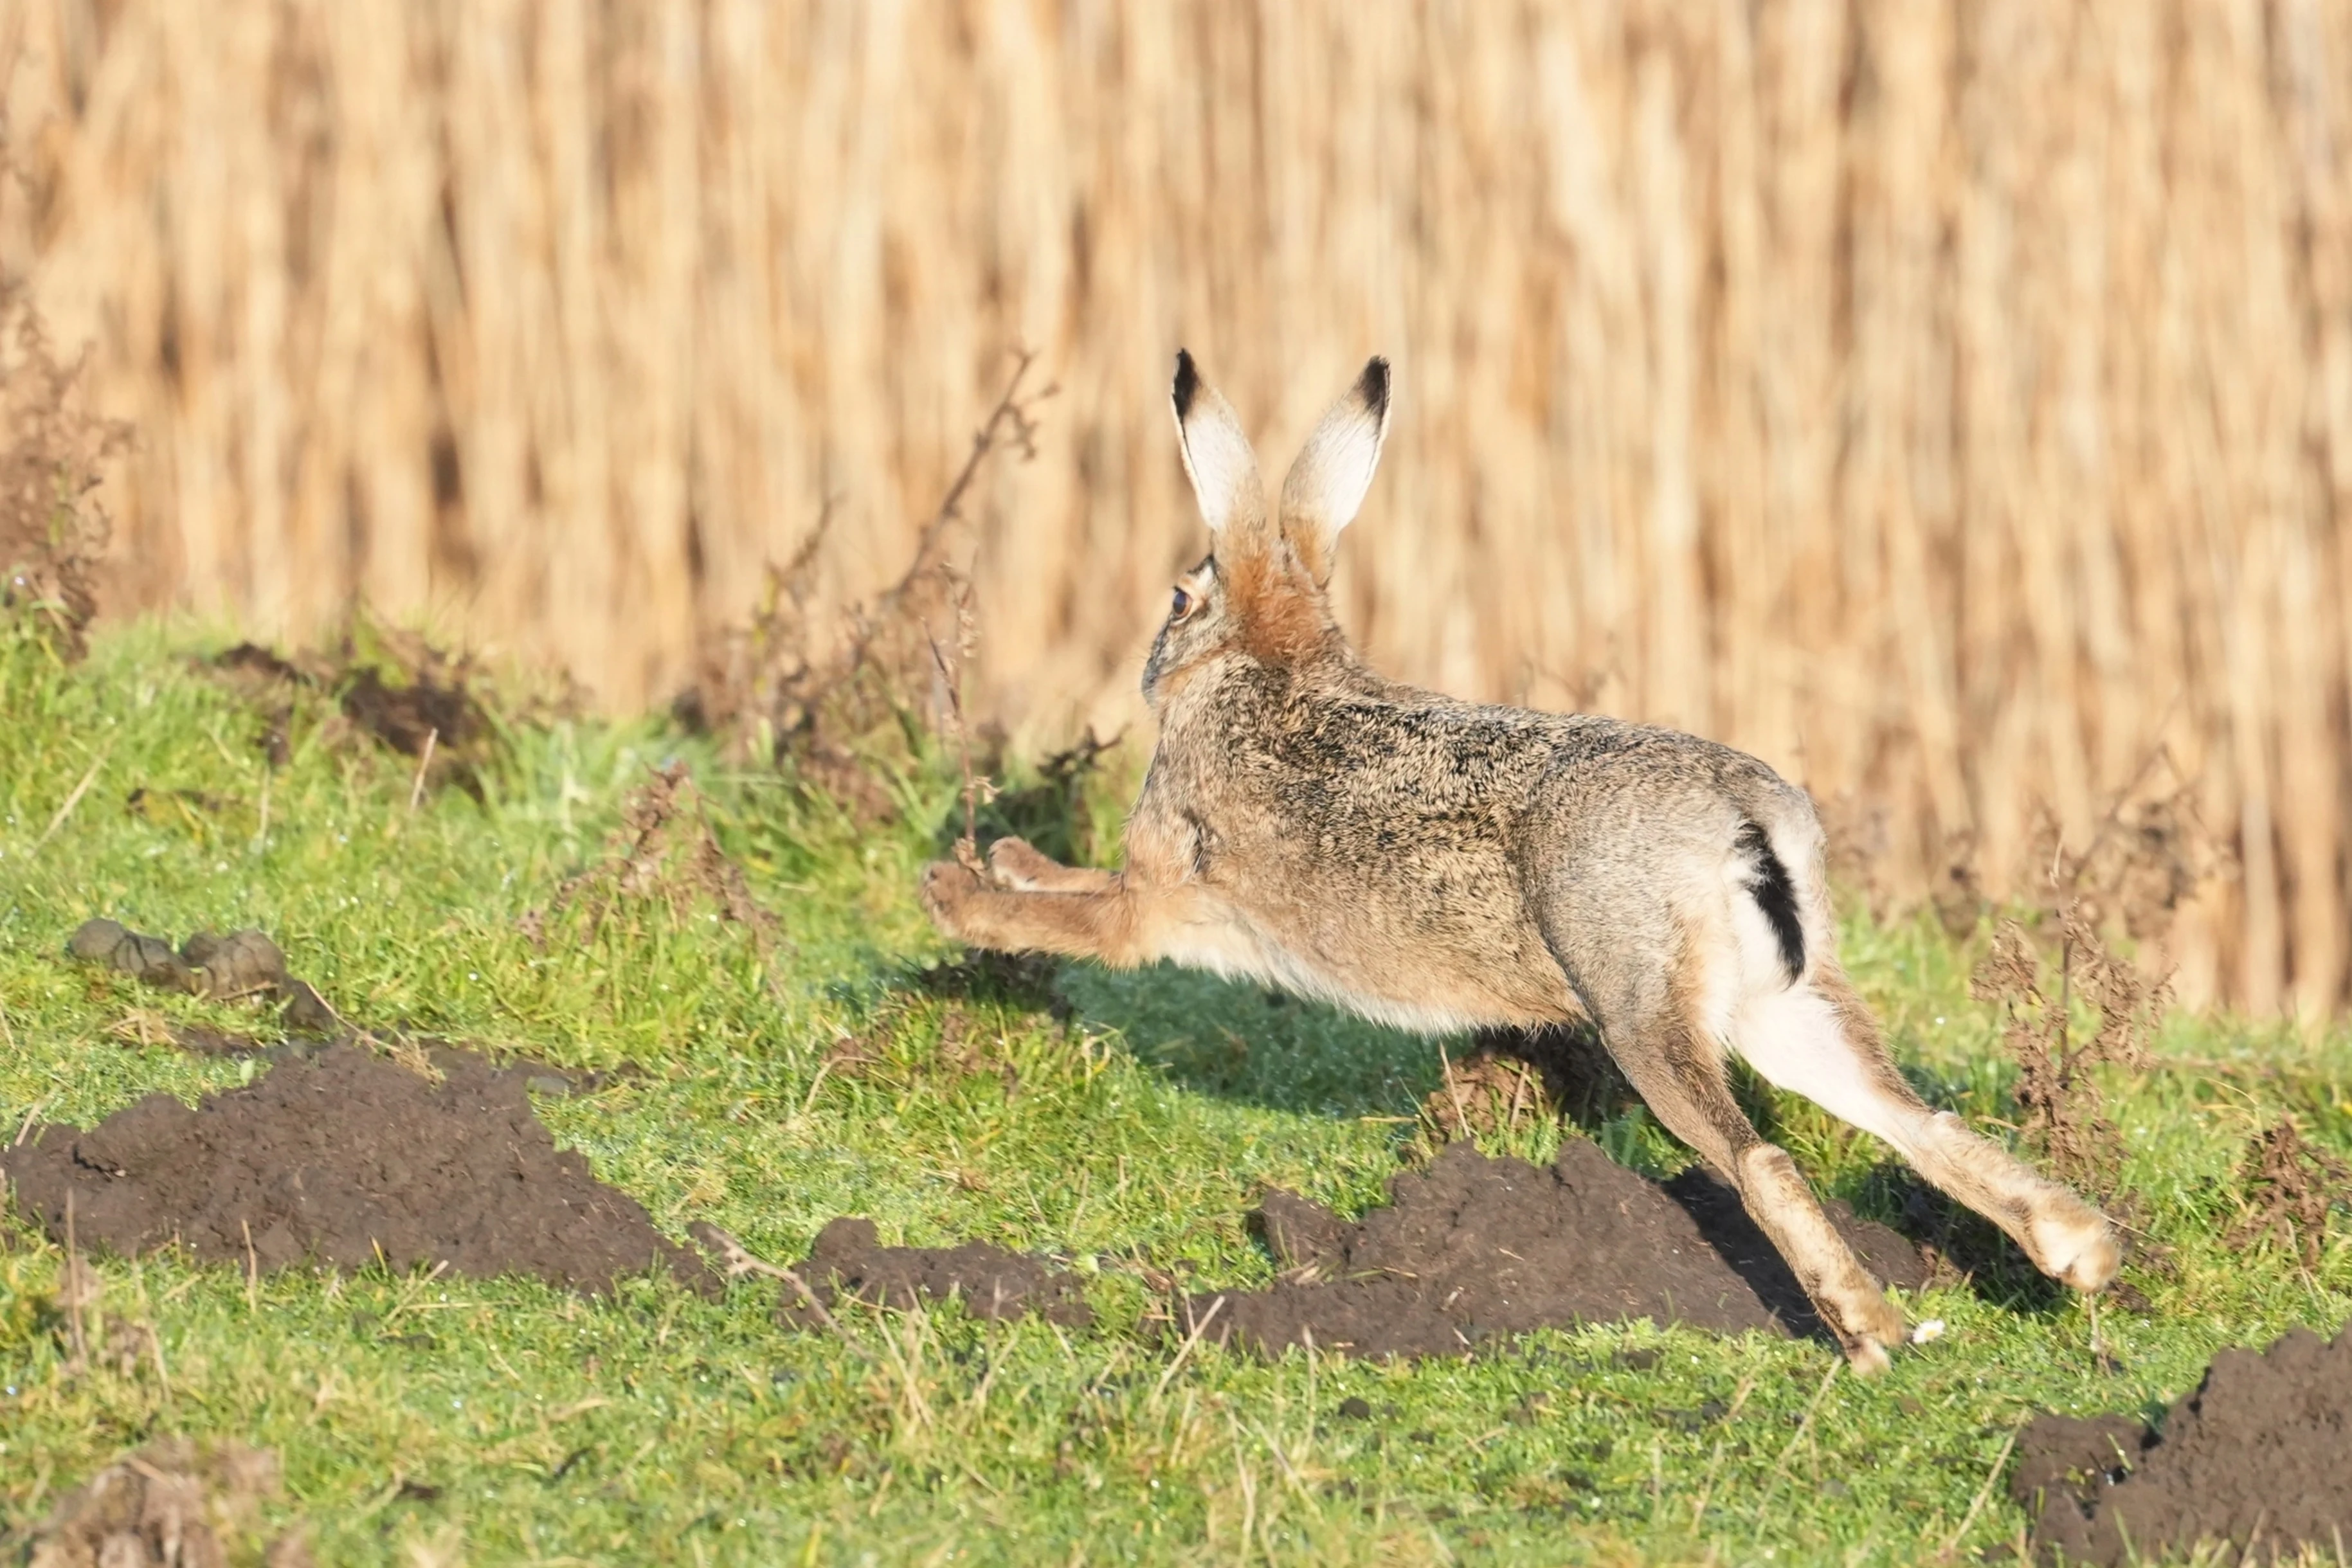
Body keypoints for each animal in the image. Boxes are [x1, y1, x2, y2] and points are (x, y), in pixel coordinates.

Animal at [920, 350, 2121, 1371]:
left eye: (1179, 594)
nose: (1148, 657)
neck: (1265, 668)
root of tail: (1744, 823)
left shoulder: (1161, 894)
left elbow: (1087, 921)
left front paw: (956, 893)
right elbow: (1070, 882)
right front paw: (1013, 855)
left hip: (1639, 1006)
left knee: (1760, 1159)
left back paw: (1869, 1331)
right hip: (1783, 1000)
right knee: (1910, 1117)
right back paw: (2079, 1250)